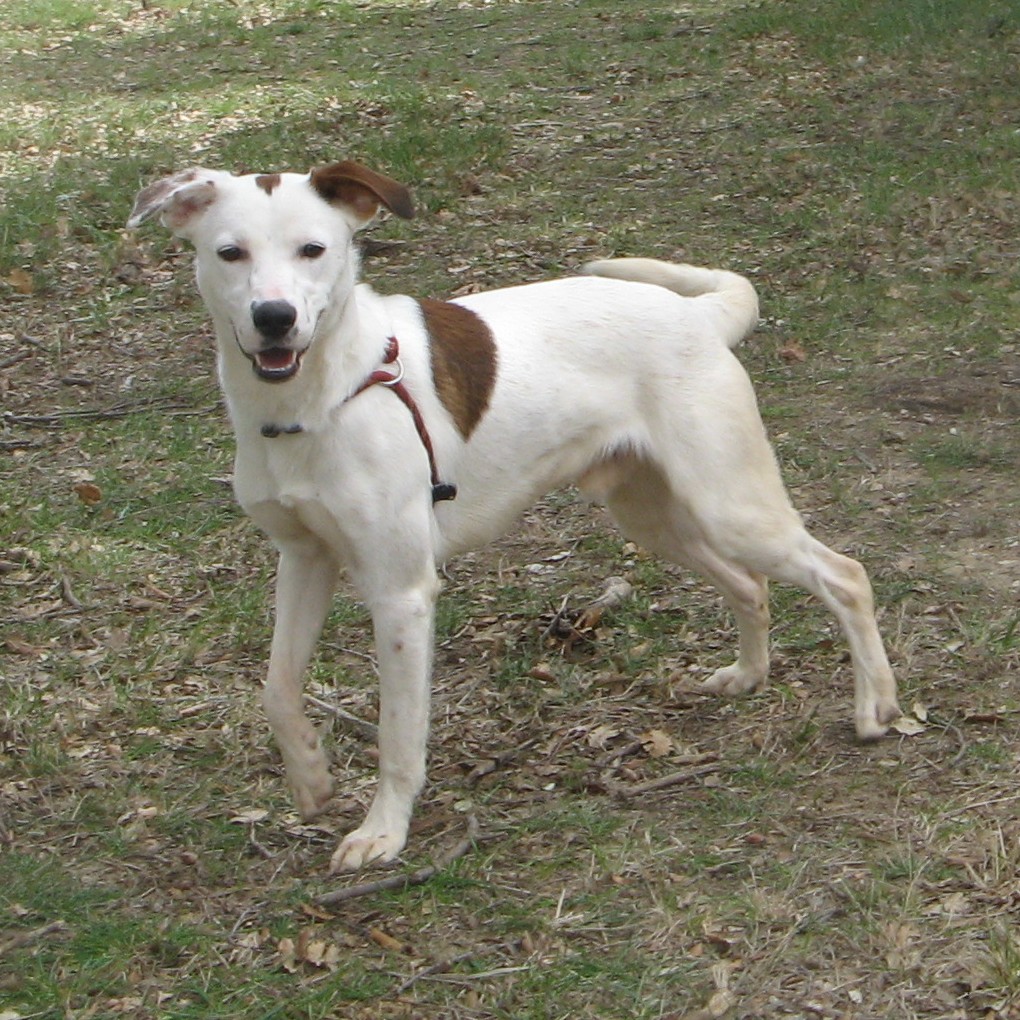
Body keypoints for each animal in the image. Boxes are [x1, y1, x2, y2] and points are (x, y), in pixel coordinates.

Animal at [127, 159, 901, 869]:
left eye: (313, 250)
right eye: (230, 253)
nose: (274, 319)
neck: (316, 400)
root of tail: (694, 313)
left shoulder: (401, 593)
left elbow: (399, 735)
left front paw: (384, 832)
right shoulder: (304, 559)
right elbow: (278, 690)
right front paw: (312, 777)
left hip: (729, 504)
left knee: (844, 575)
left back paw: (875, 708)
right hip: (651, 514)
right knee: (749, 585)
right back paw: (747, 675)